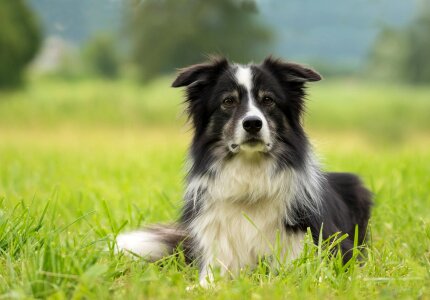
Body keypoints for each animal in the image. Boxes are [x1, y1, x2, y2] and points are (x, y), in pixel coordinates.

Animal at [117, 56, 372, 286]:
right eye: (228, 101)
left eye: (268, 100)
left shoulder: (317, 251)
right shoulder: (217, 258)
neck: (250, 183)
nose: (252, 123)